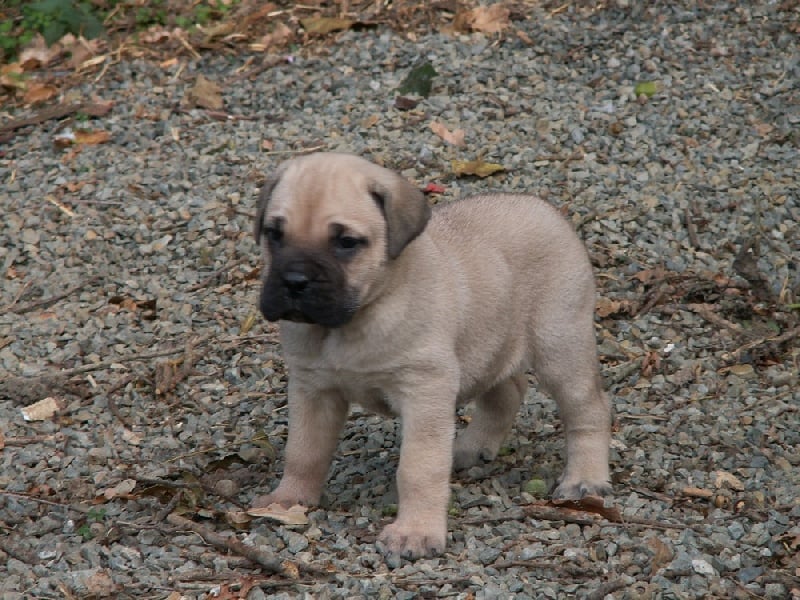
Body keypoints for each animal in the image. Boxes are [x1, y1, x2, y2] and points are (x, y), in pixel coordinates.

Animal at [250, 151, 612, 556]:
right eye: (274, 234)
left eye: (346, 242)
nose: (294, 280)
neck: (354, 321)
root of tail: (545, 210)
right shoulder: (313, 390)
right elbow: (303, 450)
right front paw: (289, 500)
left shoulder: (424, 391)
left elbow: (418, 468)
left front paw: (416, 531)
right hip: (490, 345)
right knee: (507, 393)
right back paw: (471, 447)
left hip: (559, 347)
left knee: (588, 409)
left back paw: (585, 479)